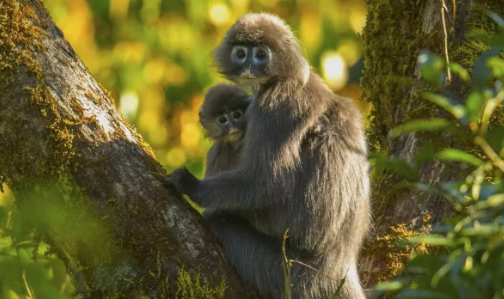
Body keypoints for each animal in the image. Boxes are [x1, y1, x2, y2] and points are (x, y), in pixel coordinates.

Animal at [165, 12, 370, 299]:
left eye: (261, 55)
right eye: (241, 54)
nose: (249, 67)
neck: (291, 77)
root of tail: (340, 265)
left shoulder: (277, 104)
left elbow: (269, 181)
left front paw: (190, 185)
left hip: (289, 272)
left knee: (221, 217)